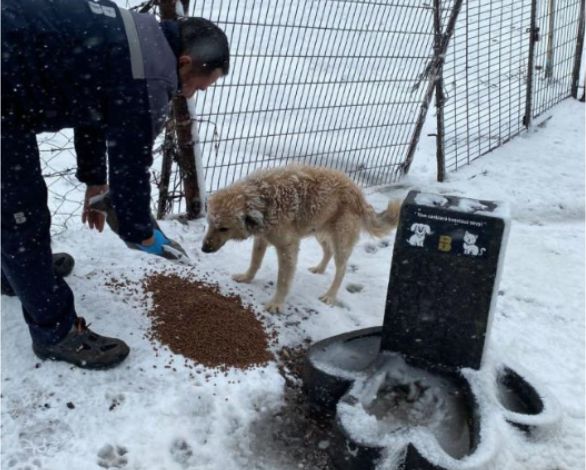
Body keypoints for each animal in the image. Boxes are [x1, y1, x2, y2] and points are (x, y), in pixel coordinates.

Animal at [202, 165, 402, 312]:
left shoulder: (287, 248)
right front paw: (246, 277)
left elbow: (283, 280)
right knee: (327, 251)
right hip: (320, 231)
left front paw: (277, 303)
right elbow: (254, 262)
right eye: (209, 223)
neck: (263, 200)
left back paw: (330, 295)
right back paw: (320, 269)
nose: (204, 249)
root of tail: (359, 194)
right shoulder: (262, 238)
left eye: (223, 228)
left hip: (341, 242)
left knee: (342, 269)